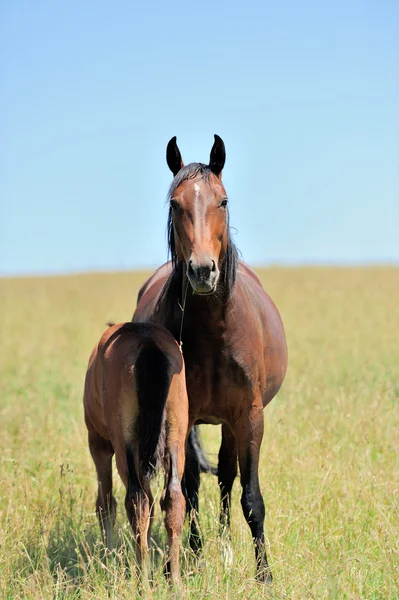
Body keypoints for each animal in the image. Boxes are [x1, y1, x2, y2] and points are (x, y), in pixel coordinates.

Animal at [83, 322, 189, 584]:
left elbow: (105, 503)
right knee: (172, 498)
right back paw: (173, 581)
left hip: (125, 445)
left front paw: (108, 556)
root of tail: (148, 343)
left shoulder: (99, 444)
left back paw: (143, 580)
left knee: (136, 500)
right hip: (175, 439)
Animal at [133, 135, 290, 580]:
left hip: (230, 423)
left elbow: (250, 497)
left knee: (227, 478)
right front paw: (195, 557)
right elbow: (187, 490)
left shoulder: (249, 417)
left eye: (223, 200)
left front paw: (264, 575)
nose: (202, 271)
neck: (215, 333)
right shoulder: (184, 419)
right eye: (175, 203)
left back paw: (225, 546)